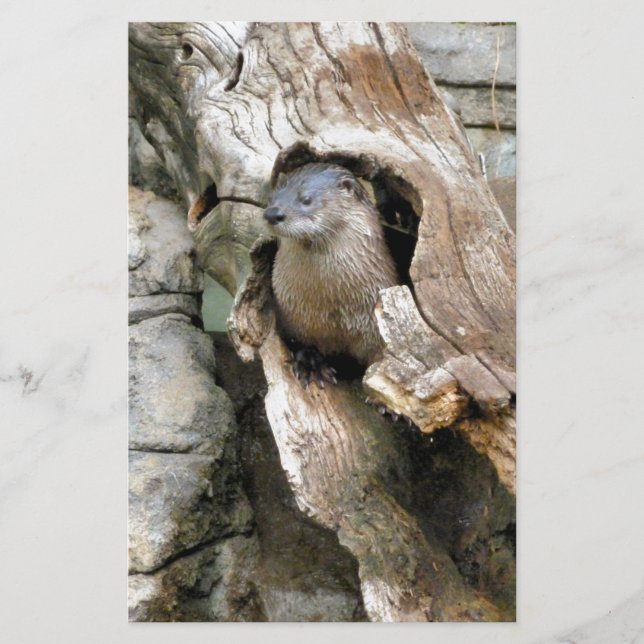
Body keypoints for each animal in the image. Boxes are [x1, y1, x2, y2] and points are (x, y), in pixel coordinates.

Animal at [263, 163, 399, 381]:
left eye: (306, 199)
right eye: (271, 198)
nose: (273, 213)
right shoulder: (292, 319)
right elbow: (299, 342)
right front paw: (310, 363)